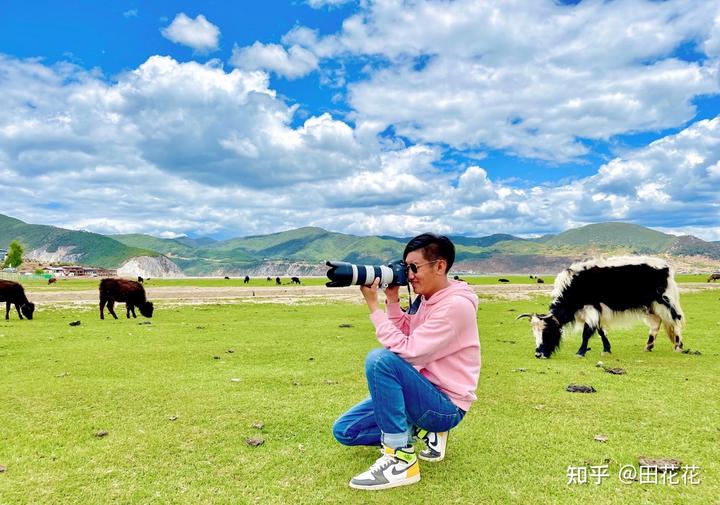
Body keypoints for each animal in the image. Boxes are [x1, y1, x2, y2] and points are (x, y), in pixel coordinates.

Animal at [516, 256, 680, 358]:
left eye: (548, 332)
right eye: (534, 333)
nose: (538, 354)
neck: (574, 287)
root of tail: (665, 266)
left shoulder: (591, 309)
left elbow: (587, 332)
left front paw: (580, 352)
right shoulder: (596, 311)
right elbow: (601, 331)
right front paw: (607, 349)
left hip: (665, 302)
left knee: (676, 321)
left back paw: (678, 346)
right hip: (651, 307)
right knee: (656, 324)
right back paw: (648, 347)